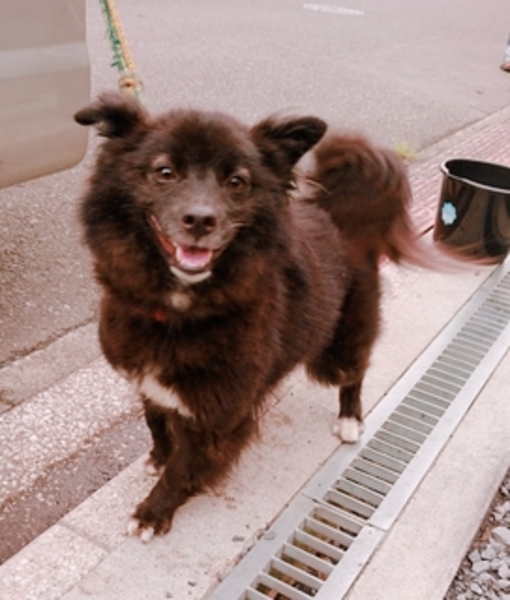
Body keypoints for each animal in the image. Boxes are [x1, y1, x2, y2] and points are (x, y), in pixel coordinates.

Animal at [74, 91, 424, 541]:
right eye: (164, 172)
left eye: (237, 183)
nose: (201, 220)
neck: (179, 311)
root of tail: (343, 218)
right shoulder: (149, 385)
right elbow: (155, 423)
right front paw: (157, 456)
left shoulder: (219, 416)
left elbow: (184, 467)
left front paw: (153, 512)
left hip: (337, 348)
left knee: (354, 374)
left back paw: (350, 421)